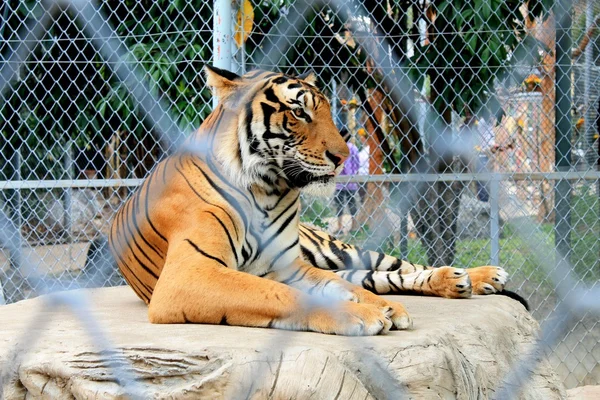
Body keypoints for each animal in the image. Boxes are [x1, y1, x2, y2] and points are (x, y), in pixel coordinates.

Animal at [106, 65, 516, 334]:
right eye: (299, 111)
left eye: (327, 111)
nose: (341, 155)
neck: (267, 189)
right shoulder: (190, 273)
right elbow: (279, 294)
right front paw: (365, 314)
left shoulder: (291, 266)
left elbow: (339, 288)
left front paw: (385, 309)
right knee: (378, 277)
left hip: (339, 250)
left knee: (396, 268)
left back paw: (478, 276)